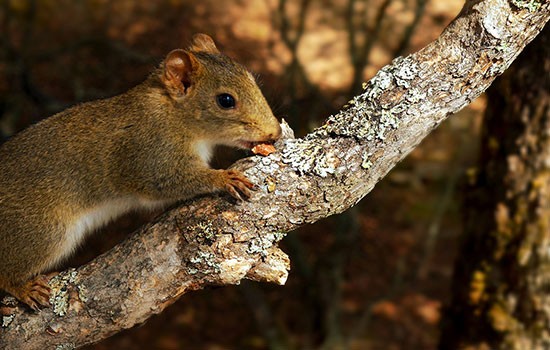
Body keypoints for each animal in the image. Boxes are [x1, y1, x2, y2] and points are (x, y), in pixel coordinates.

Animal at [0, 34, 282, 310]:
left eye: (251, 78)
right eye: (225, 100)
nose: (275, 133)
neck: (173, 113)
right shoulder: (150, 154)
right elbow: (167, 182)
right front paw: (223, 178)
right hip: (42, 231)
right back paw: (24, 288)